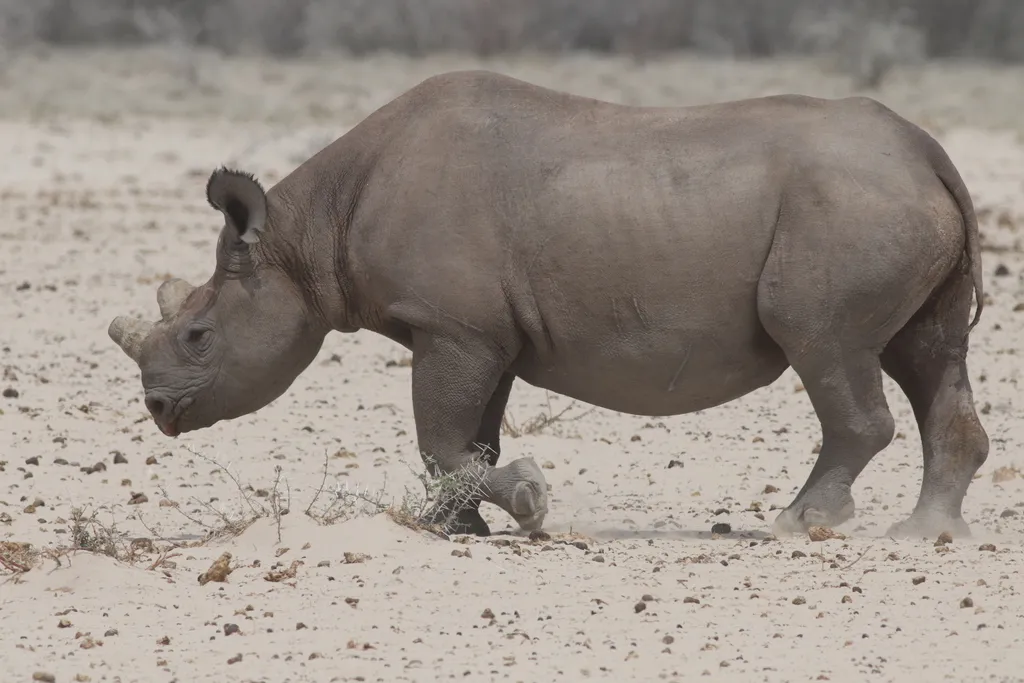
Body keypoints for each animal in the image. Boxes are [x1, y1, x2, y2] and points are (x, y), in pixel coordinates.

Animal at [108, 70, 989, 540]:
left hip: (850, 208)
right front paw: (459, 526)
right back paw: (925, 533)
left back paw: (800, 522)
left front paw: (526, 504)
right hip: (887, 202)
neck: (305, 235)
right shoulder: (481, 331)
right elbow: (470, 438)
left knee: (828, 347)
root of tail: (931, 151)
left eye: (197, 334)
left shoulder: (450, 325)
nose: (157, 408)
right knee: (928, 354)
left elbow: (442, 438)